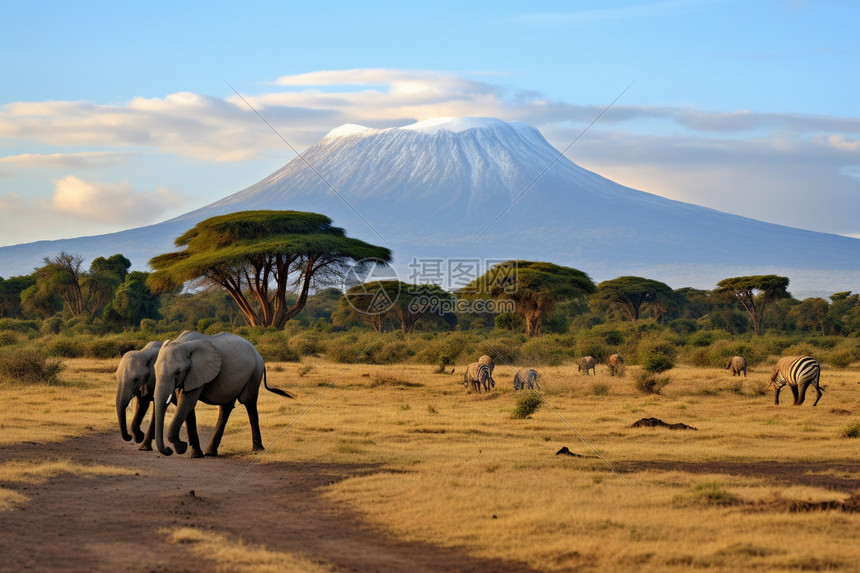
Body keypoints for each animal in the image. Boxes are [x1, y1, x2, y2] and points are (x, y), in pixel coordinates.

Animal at [152, 330, 292, 456]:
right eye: (155, 369)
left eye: (178, 372)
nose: (169, 450)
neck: (182, 343)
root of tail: (259, 355)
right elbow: (186, 406)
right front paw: (194, 454)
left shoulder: (197, 372)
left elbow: (187, 402)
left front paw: (185, 449)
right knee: (226, 408)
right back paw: (210, 452)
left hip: (254, 374)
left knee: (249, 404)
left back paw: (257, 450)